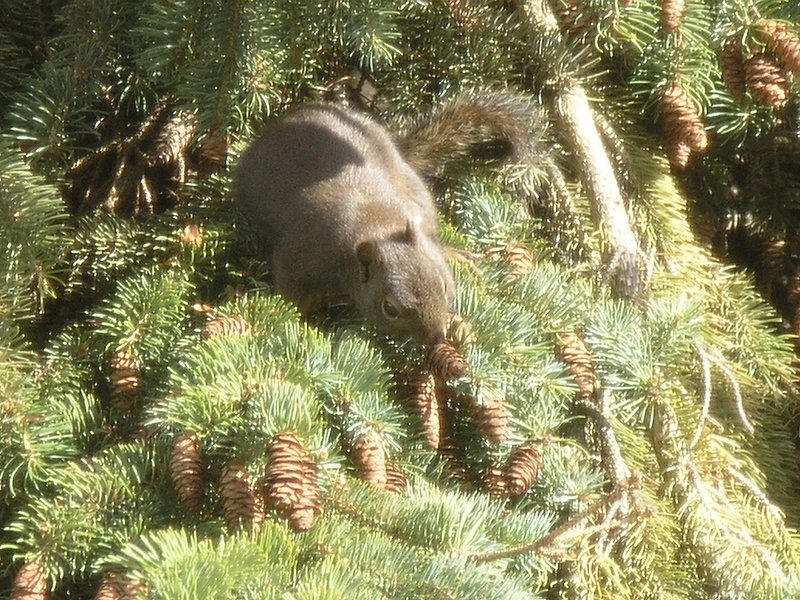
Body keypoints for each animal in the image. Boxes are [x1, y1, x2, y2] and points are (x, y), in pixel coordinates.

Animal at [233, 89, 534, 343]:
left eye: (442, 281)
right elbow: (293, 296)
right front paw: (307, 324)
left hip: (412, 186)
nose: (438, 336)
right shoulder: (300, 255)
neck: (374, 225)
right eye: (390, 309)